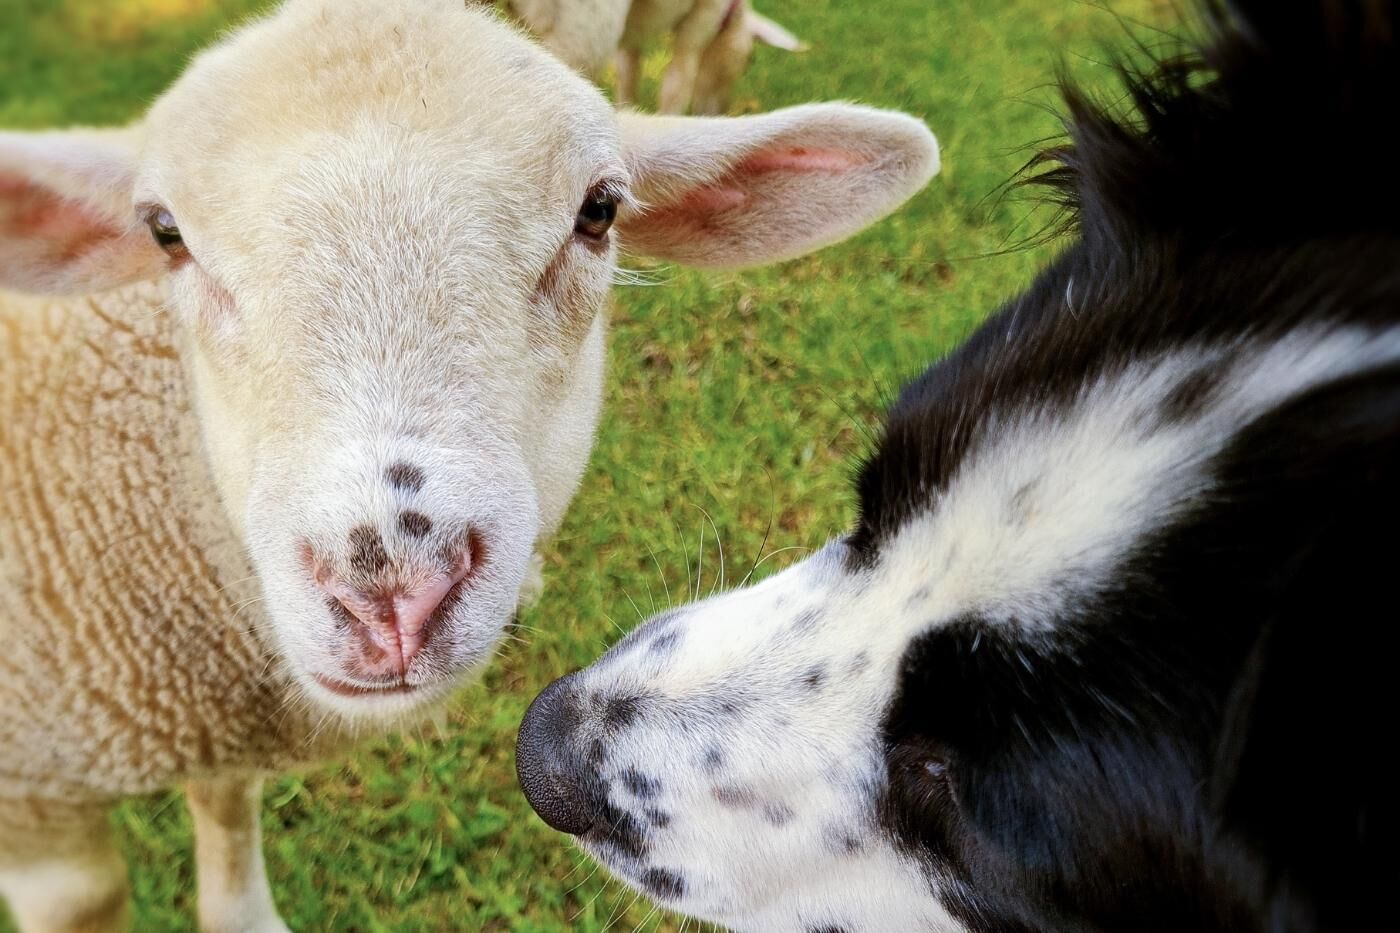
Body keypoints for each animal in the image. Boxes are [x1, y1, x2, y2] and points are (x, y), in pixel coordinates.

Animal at [508, 0, 805, 114]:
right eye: (748, 61)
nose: (720, 113)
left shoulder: (631, 33)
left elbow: (627, 76)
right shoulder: (701, 18)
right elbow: (675, 88)